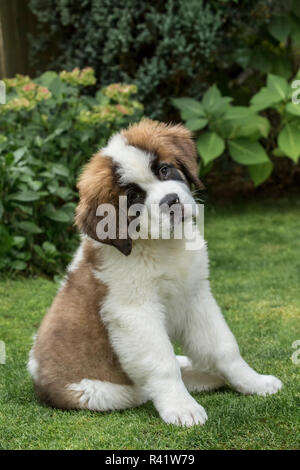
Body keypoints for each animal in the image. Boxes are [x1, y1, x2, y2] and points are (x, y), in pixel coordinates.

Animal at [27, 118, 282, 426]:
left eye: (164, 170)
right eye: (134, 197)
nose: (171, 200)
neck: (163, 245)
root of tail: (38, 381)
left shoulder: (196, 296)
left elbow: (224, 346)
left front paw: (253, 382)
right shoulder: (135, 313)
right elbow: (162, 363)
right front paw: (182, 407)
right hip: (105, 393)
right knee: (144, 386)